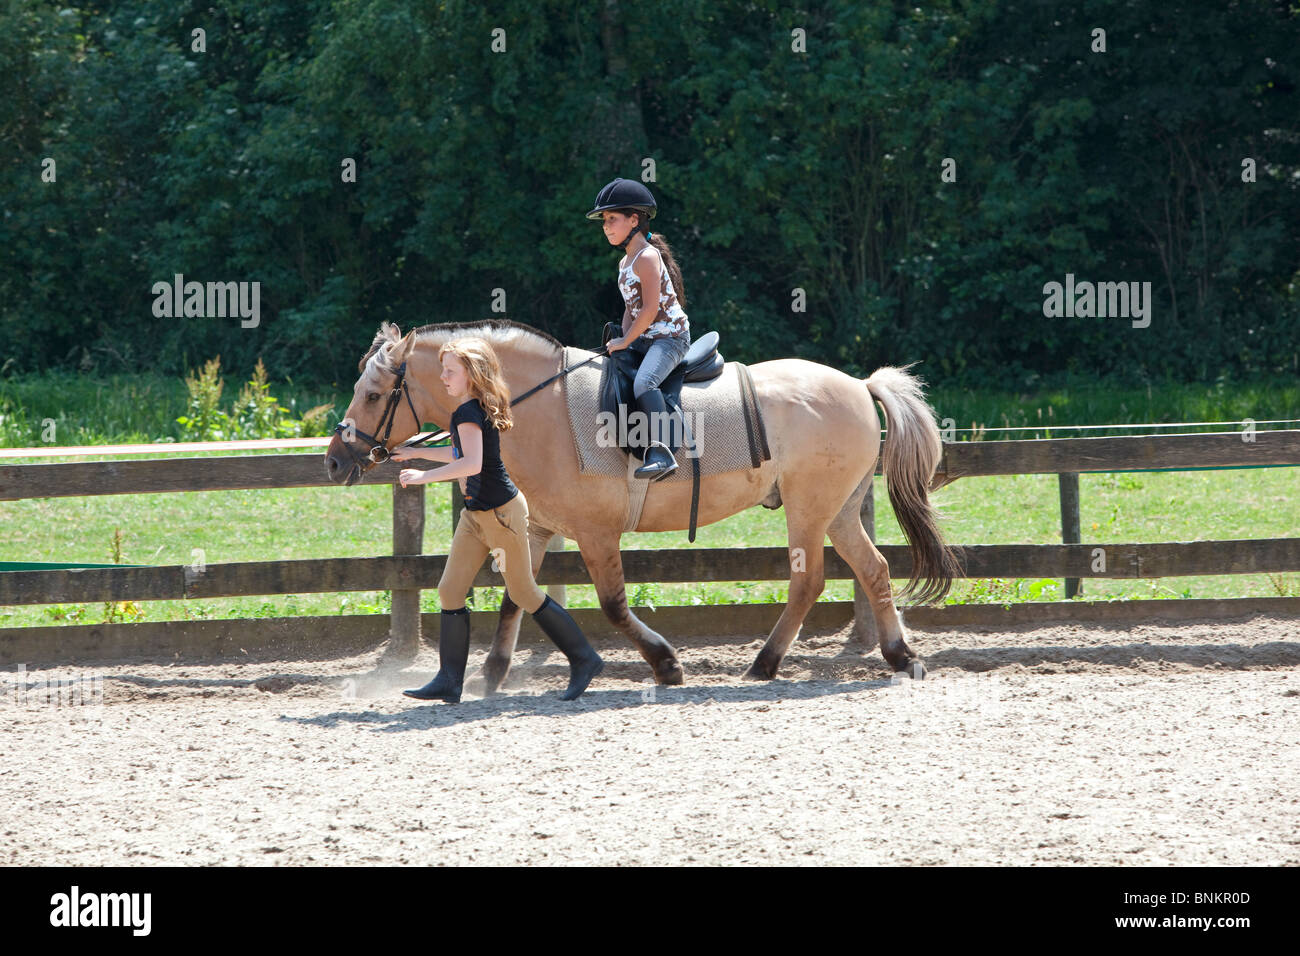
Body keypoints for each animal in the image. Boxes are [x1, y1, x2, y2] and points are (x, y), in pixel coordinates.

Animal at [325, 319, 961, 690]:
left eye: (374, 394)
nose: (334, 460)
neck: (532, 406)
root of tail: (857, 383)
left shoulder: (595, 534)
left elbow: (611, 606)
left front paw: (665, 663)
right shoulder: (537, 528)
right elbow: (515, 600)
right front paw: (491, 674)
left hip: (810, 511)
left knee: (809, 582)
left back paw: (765, 662)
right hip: (840, 511)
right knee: (874, 570)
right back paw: (900, 656)